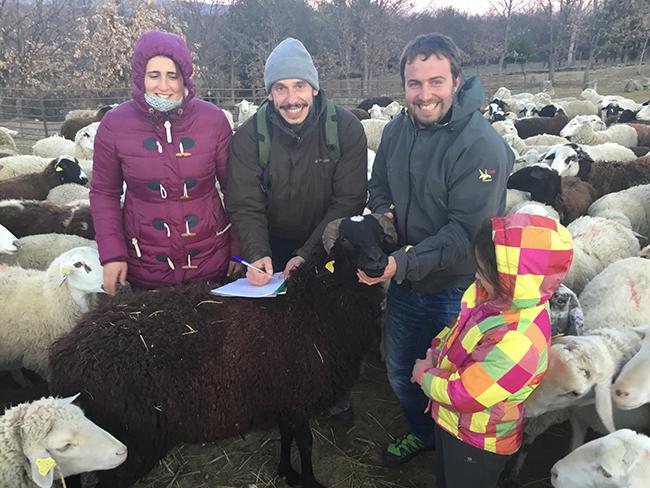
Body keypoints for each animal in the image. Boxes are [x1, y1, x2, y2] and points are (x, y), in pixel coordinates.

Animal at [48, 214, 392, 488]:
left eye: (379, 234)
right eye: (346, 240)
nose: (378, 262)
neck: (312, 303)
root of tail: (66, 352)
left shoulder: (283, 398)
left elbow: (287, 437)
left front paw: (286, 471)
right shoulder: (299, 397)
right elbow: (305, 444)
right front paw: (309, 480)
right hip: (128, 444)